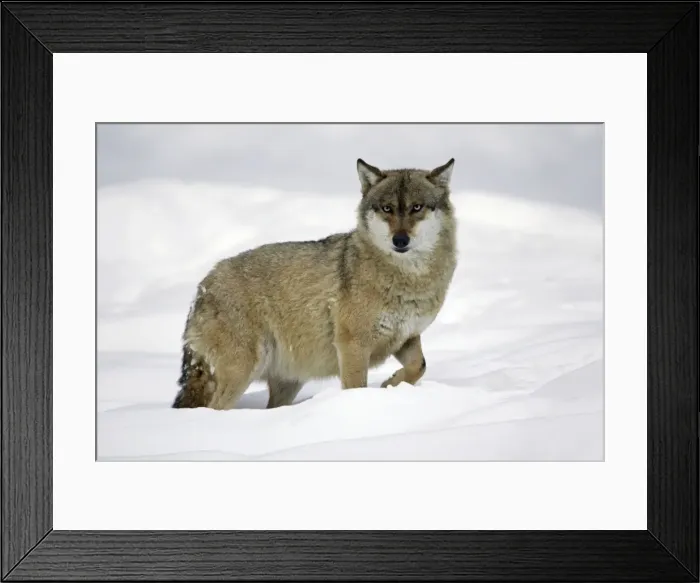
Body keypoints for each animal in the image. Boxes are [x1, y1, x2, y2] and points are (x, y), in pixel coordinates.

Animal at [172, 158, 458, 410]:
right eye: (387, 209)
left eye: (417, 207)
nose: (400, 240)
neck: (408, 280)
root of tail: (202, 288)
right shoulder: (352, 345)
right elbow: (356, 386)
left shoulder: (406, 337)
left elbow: (419, 366)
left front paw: (391, 384)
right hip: (242, 370)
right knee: (214, 408)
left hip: (287, 381)